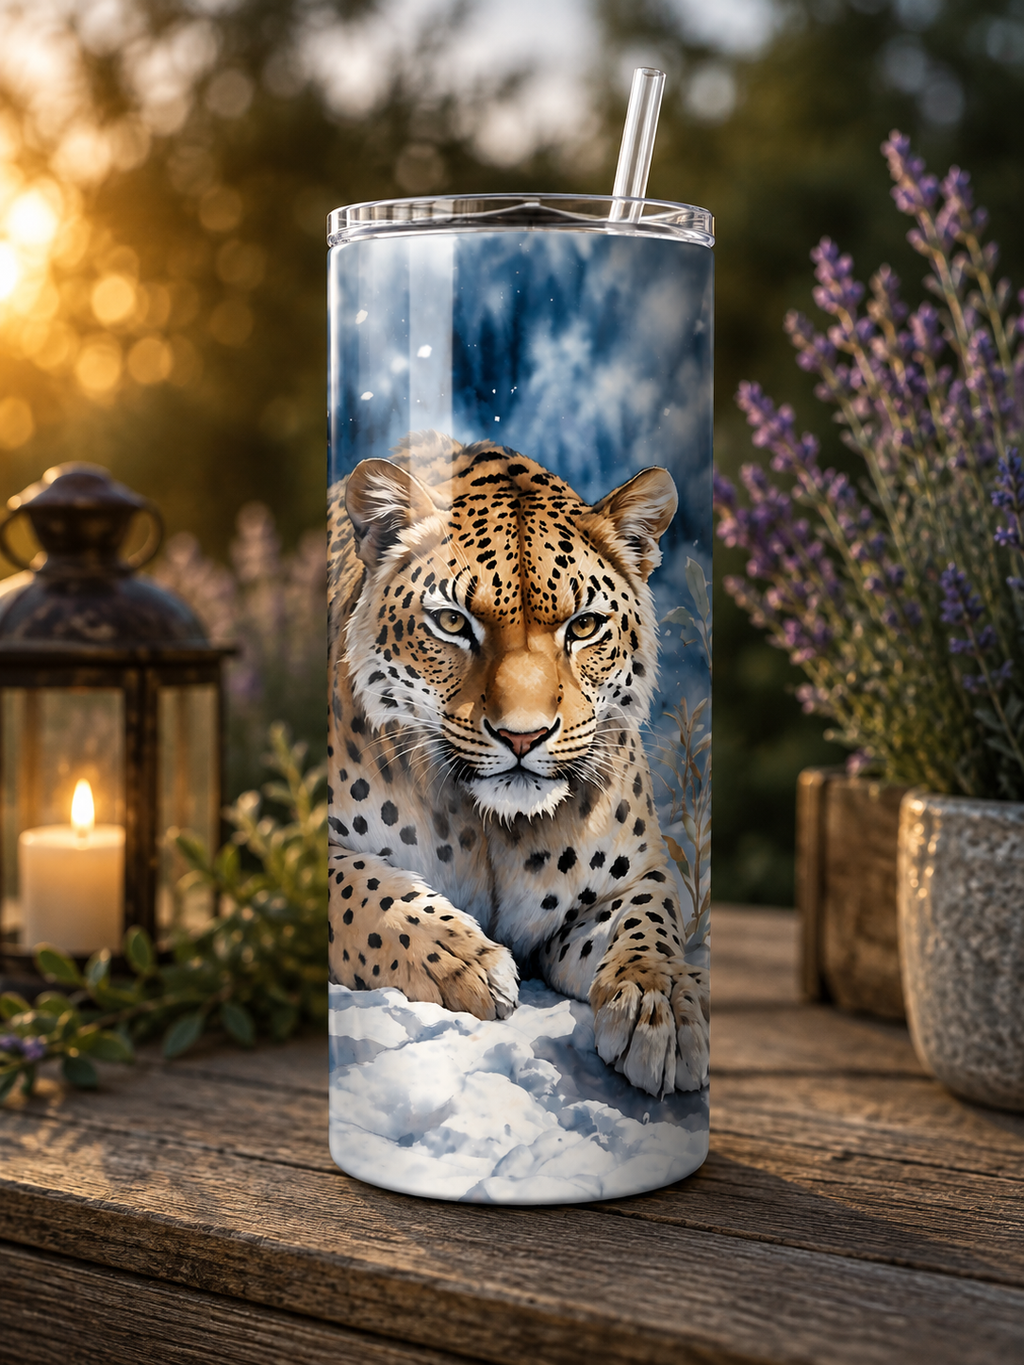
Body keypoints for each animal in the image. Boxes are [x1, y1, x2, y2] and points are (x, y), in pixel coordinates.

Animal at [327, 431, 709, 1098]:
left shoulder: (632, 879)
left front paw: (661, 1008)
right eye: (452, 622)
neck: (493, 829)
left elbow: (650, 926)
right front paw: (465, 961)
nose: (522, 736)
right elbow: (365, 892)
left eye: (585, 626)